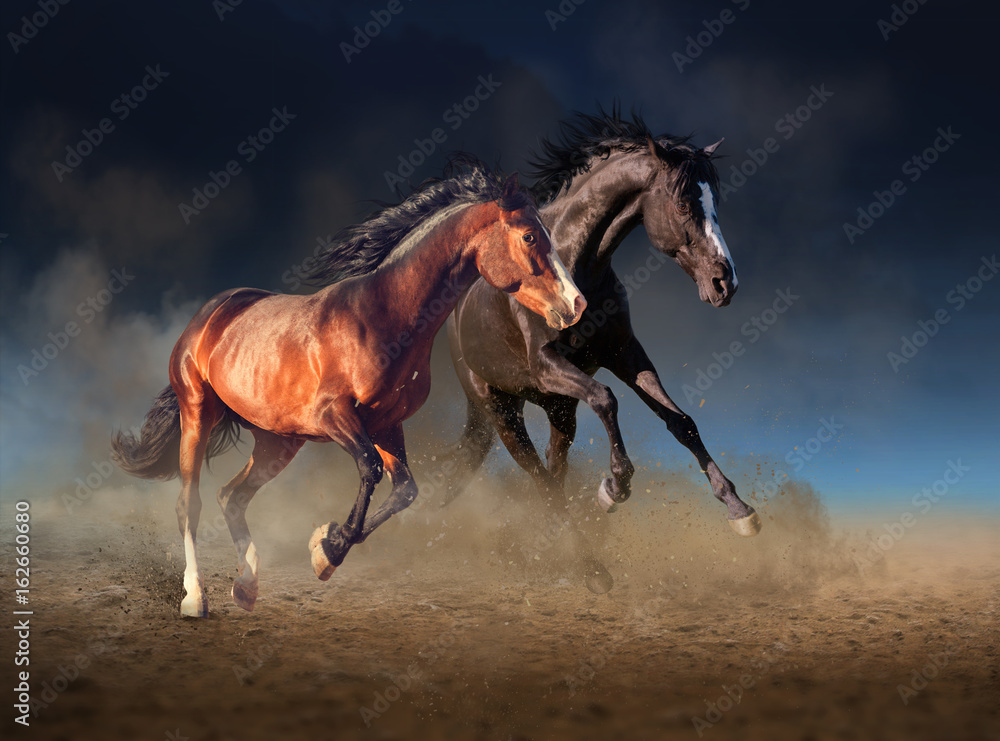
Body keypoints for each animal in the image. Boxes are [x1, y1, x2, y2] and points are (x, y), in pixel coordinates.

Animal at [111, 159, 586, 617]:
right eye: (529, 235)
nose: (575, 305)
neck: (383, 316)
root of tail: (212, 313)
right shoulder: (336, 417)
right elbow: (371, 470)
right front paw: (328, 548)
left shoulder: (386, 425)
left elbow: (405, 490)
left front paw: (326, 547)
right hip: (198, 411)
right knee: (188, 505)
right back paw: (195, 599)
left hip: (278, 442)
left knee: (232, 497)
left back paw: (246, 588)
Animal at [440, 107, 760, 593]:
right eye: (684, 204)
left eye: (715, 204)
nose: (726, 283)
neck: (576, 266)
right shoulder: (547, 364)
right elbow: (607, 399)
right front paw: (615, 487)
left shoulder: (625, 353)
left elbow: (681, 422)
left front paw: (740, 511)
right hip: (501, 409)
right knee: (541, 479)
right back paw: (592, 570)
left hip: (558, 409)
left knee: (554, 471)